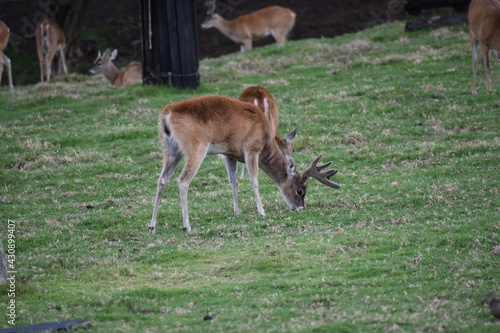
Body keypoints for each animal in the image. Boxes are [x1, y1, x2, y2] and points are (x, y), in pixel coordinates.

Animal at [148, 94, 342, 232]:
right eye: (299, 190)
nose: (300, 208)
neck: (266, 141)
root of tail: (166, 116)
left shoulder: (229, 153)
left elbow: (233, 181)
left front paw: (237, 211)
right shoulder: (251, 148)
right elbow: (253, 180)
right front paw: (261, 211)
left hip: (170, 150)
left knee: (162, 180)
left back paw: (152, 226)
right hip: (195, 147)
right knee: (183, 181)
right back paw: (187, 225)